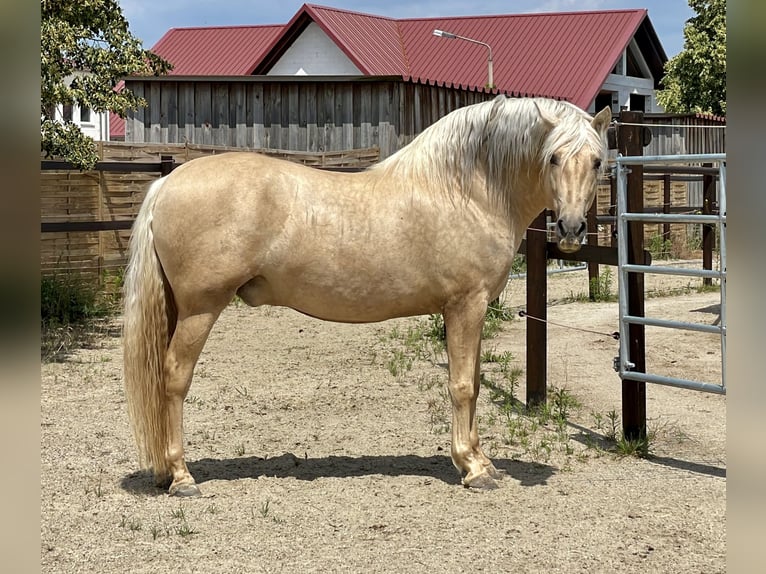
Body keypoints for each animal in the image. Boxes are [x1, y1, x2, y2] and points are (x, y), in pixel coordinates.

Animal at [123, 97, 612, 498]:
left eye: (596, 161)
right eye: (553, 157)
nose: (571, 229)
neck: (466, 190)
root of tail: (167, 184)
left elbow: (471, 383)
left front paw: (480, 460)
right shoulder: (465, 306)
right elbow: (462, 386)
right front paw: (473, 468)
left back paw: (166, 472)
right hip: (200, 309)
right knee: (174, 377)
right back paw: (182, 477)